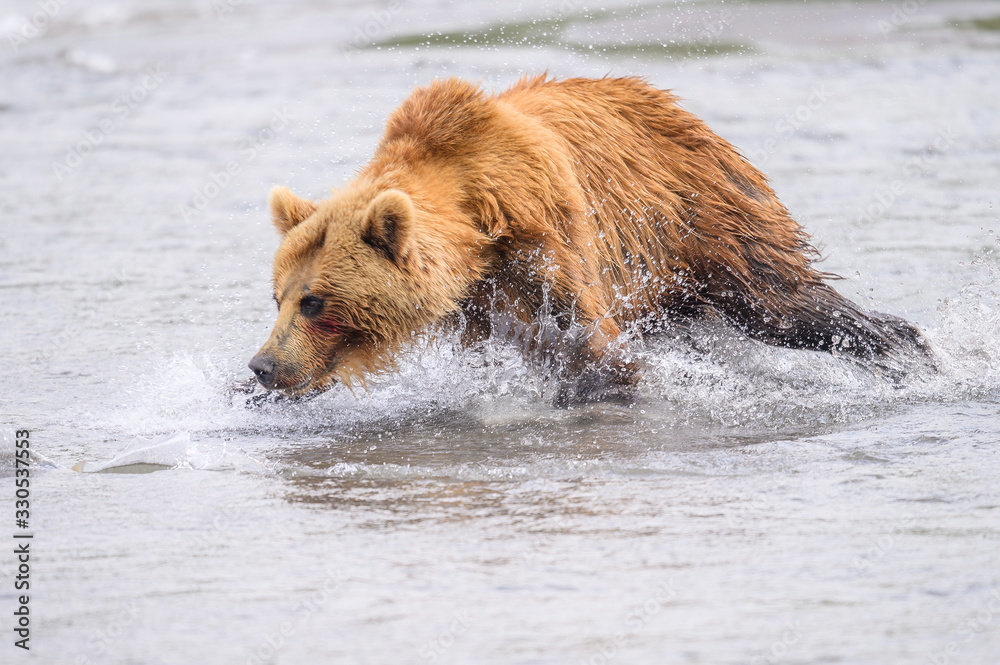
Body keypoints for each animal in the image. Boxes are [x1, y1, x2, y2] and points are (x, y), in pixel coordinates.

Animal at [248, 75, 928, 403]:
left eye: (315, 301)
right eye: (277, 297)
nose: (262, 366)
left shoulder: (550, 242)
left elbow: (590, 346)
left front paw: (594, 387)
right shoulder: (479, 301)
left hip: (702, 221)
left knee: (789, 304)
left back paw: (911, 353)